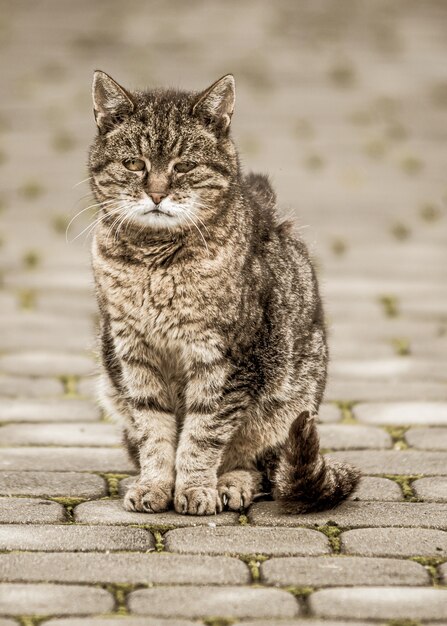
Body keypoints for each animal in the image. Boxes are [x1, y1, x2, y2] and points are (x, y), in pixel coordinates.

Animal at [88, 70, 360, 516]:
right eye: (134, 164)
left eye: (184, 166)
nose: (157, 194)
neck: (153, 264)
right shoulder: (134, 355)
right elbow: (153, 430)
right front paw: (154, 485)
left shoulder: (226, 359)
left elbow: (203, 433)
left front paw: (195, 488)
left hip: (287, 403)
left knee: (261, 466)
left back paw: (232, 484)